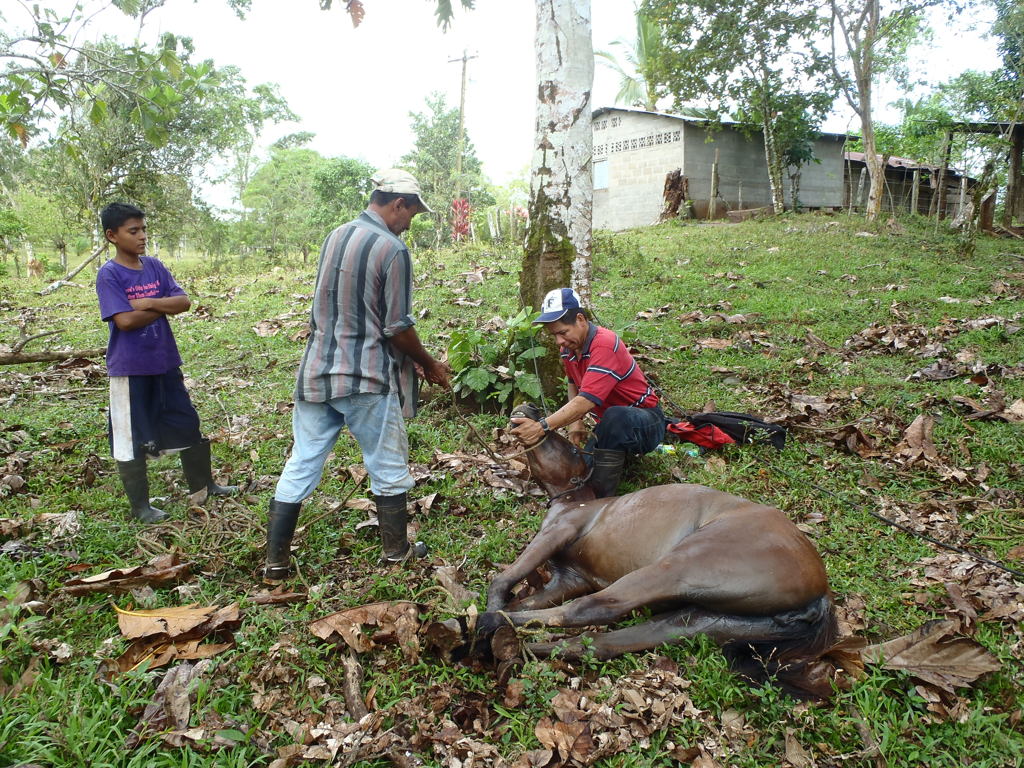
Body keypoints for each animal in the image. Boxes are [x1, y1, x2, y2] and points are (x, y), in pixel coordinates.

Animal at [475, 403, 835, 684]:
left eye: (573, 449)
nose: (530, 410)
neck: (574, 500)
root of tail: (821, 593)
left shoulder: (557, 534)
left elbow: (505, 580)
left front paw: (492, 610)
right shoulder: (569, 579)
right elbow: (526, 604)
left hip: (678, 567)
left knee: (594, 609)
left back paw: (490, 629)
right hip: (704, 620)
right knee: (602, 641)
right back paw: (518, 647)